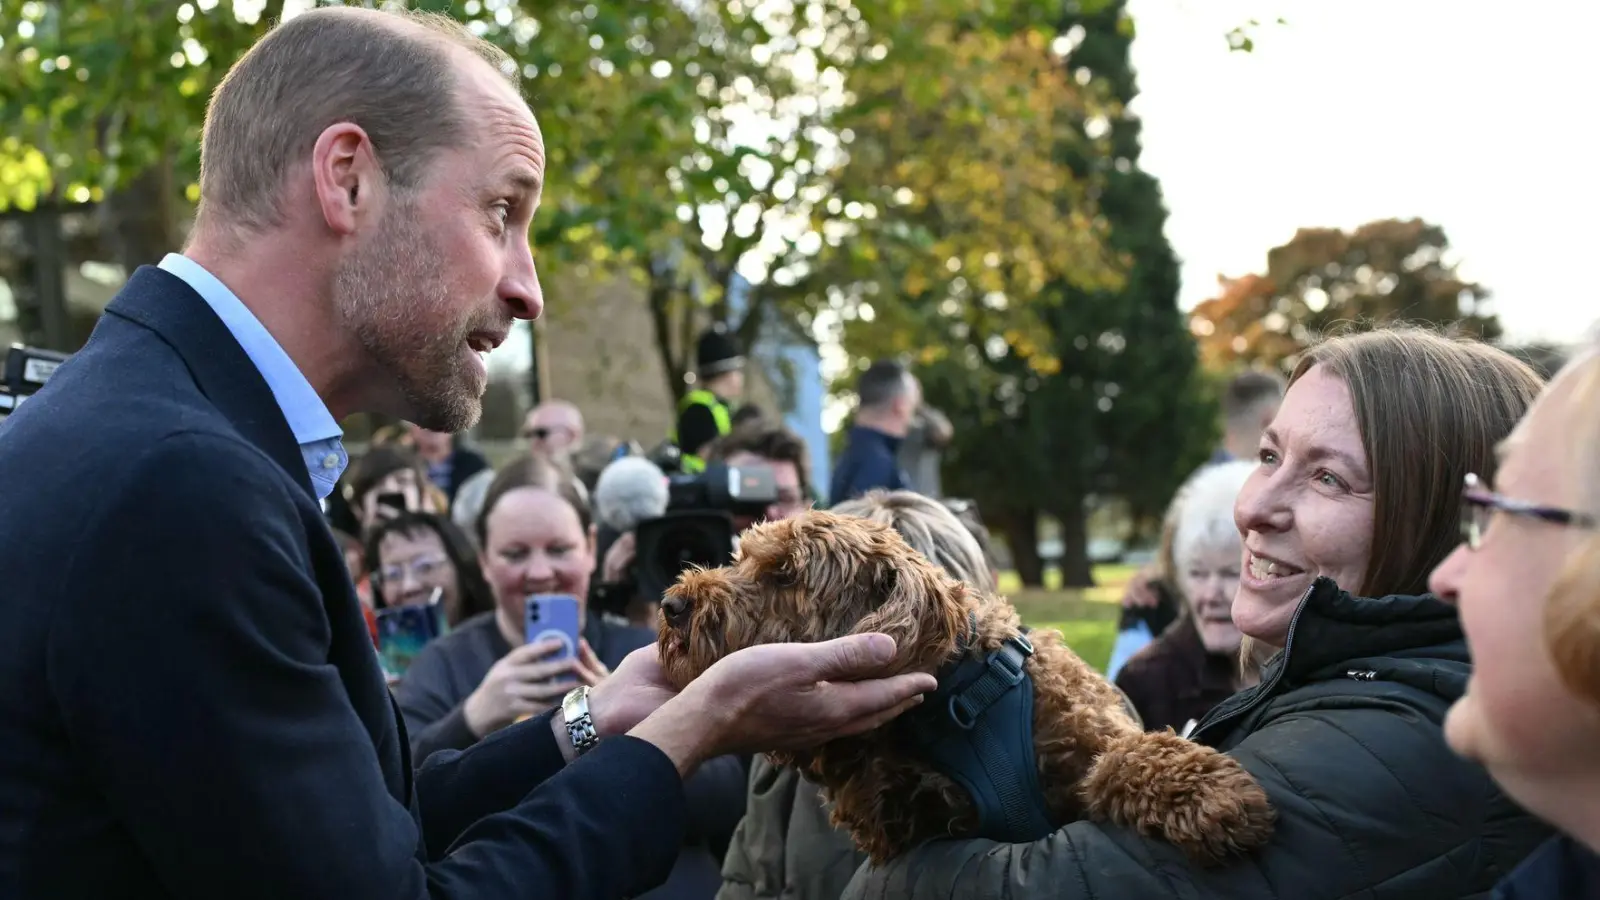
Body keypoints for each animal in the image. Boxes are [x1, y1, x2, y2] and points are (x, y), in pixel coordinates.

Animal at [659, 506, 1273, 864]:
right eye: (740, 558)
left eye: (785, 574)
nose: (672, 606)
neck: (955, 700)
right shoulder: (900, 821)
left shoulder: (1088, 738)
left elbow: (1127, 755)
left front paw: (1204, 791)